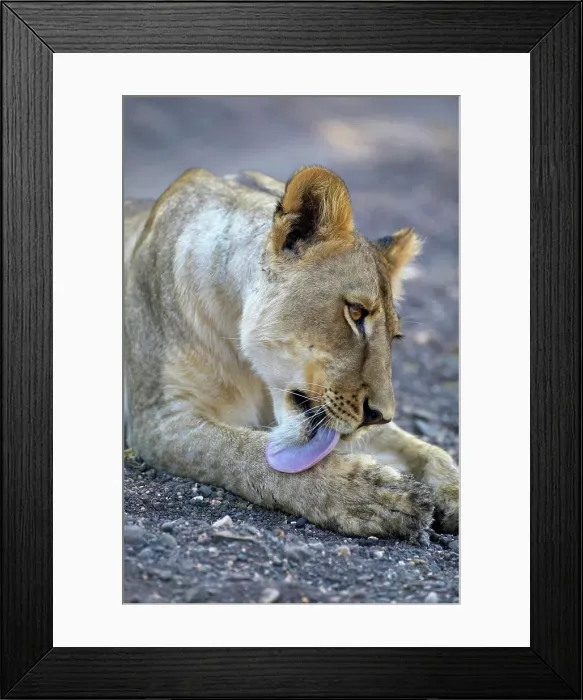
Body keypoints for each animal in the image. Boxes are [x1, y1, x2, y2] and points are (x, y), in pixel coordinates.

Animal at [124, 165, 459, 537]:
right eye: (356, 313)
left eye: (395, 336)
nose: (380, 415)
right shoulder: (158, 420)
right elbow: (243, 453)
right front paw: (373, 494)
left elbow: (425, 447)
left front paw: (453, 490)